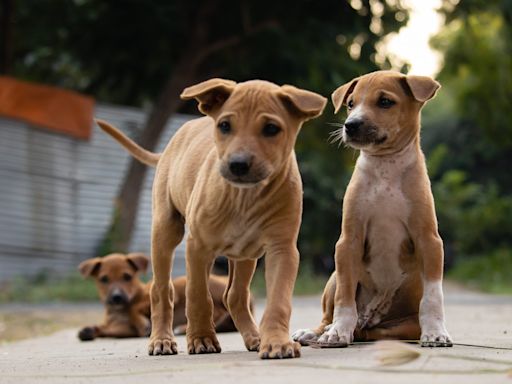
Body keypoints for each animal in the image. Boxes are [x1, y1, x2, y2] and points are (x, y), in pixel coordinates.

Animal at [77, 254, 245, 340]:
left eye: (127, 277)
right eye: (104, 279)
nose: (116, 297)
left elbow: (134, 307)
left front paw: (143, 323)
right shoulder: (124, 328)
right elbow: (108, 328)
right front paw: (89, 330)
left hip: (183, 284)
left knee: (215, 312)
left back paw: (182, 328)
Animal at [292, 70, 452, 348]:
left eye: (385, 102)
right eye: (350, 104)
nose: (350, 125)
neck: (385, 166)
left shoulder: (429, 240)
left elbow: (433, 295)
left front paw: (435, 332)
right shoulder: (348, 242)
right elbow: (345, 298)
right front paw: (338, 332)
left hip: (402, 327)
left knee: (371, 332)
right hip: (333, 276)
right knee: (329, 314)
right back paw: (318, 332)